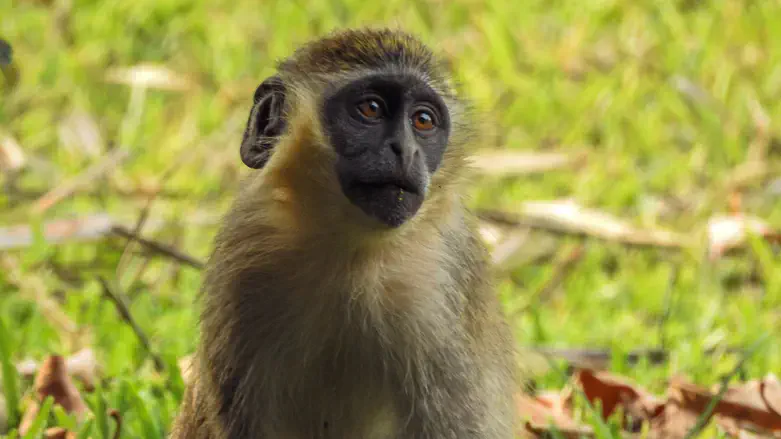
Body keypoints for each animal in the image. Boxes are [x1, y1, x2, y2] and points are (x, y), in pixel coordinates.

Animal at [169, 28, 518, 439]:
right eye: (371, 109)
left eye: (423, 121)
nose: (404, 150)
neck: (352, 251)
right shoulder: (245, 259)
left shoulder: (441, 287)